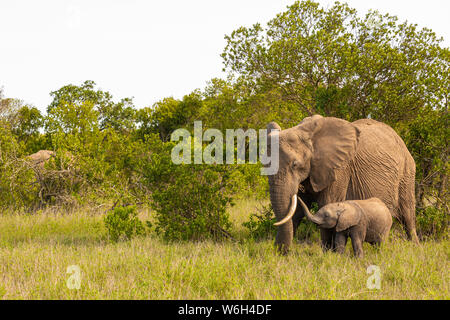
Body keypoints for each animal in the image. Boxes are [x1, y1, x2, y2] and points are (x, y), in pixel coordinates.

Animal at [268, 115, 418, 255]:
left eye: (295, 165)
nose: (281, 252)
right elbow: (295, 211)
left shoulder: (339, 170)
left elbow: (326, 204)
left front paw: (329, 255)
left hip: (407, 173)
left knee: (408, 216)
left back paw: (414, 248)